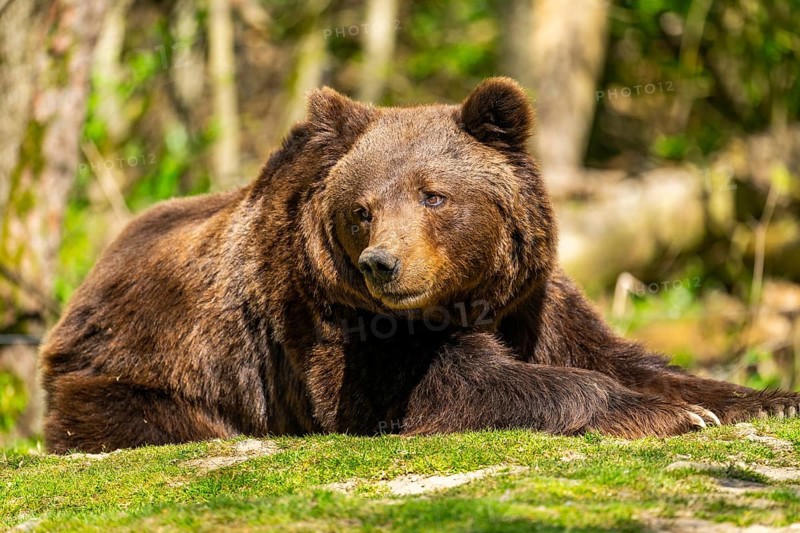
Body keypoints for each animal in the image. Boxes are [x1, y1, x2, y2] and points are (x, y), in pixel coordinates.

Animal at [40, 77, 800, 453]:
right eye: (362, 209)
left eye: (434, 194)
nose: (384, 264)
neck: (466, 297)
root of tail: (87, 281)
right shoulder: (328, 316)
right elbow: (451, 383)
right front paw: (663, 414)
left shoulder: (533, 301)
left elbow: (622, 355)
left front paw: (750, 398)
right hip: (135, 370)